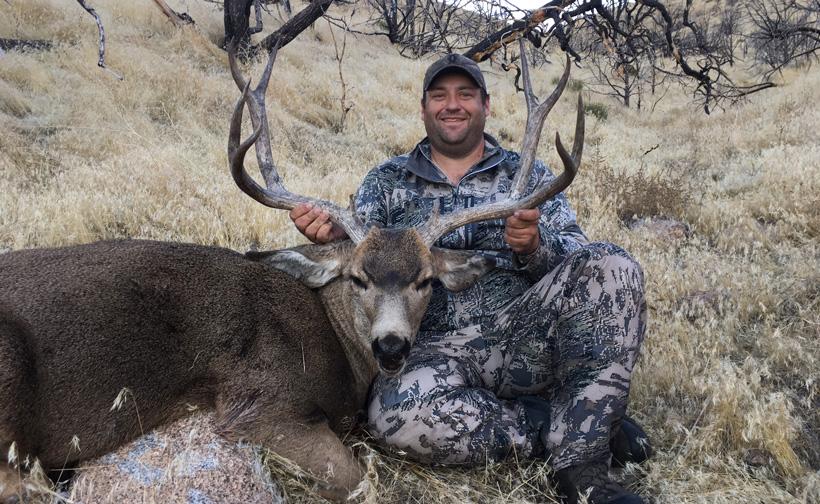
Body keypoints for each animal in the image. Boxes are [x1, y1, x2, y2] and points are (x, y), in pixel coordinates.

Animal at [0, 40, 583, 503]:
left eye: (425, 281)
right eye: (358, 278)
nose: (392, 346)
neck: (335, 338)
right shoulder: (257, 406)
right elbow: (360, 481)